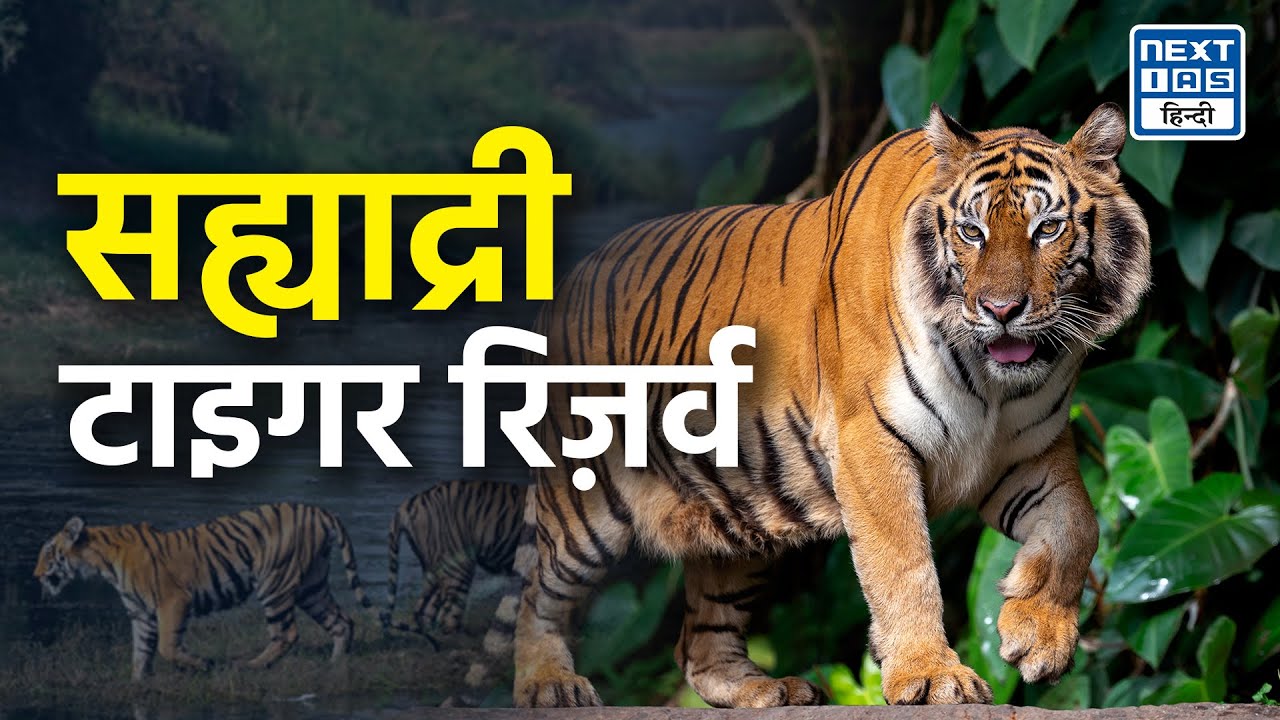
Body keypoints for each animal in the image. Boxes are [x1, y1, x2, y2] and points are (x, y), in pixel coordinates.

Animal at [34, 502, 373, 680]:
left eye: (49, 552)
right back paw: (335, 667)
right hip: (310, 587)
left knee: (286, 634)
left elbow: (167, 646)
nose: (36, 575)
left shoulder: (173, 601)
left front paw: (201, 665)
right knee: (342, 622)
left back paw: (249, 666)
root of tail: (318, 510)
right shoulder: (141, 613)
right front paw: (137, 684)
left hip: (275, 582)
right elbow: (140, 653)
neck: (101, 563)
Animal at [503, 103, 1150, 707]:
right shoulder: (871, 444)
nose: (1000, 309)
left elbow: (1079, 526)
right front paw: (931, 675)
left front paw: (1035, 633)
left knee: (699, 644)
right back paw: (549, 684)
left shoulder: (1031, 450)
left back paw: (768, 690)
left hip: (738, 517)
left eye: (1048, 229)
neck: (994, 387)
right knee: (537, 594)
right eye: (971, 233)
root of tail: (566, 282)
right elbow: (903, 564)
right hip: (585, 504)